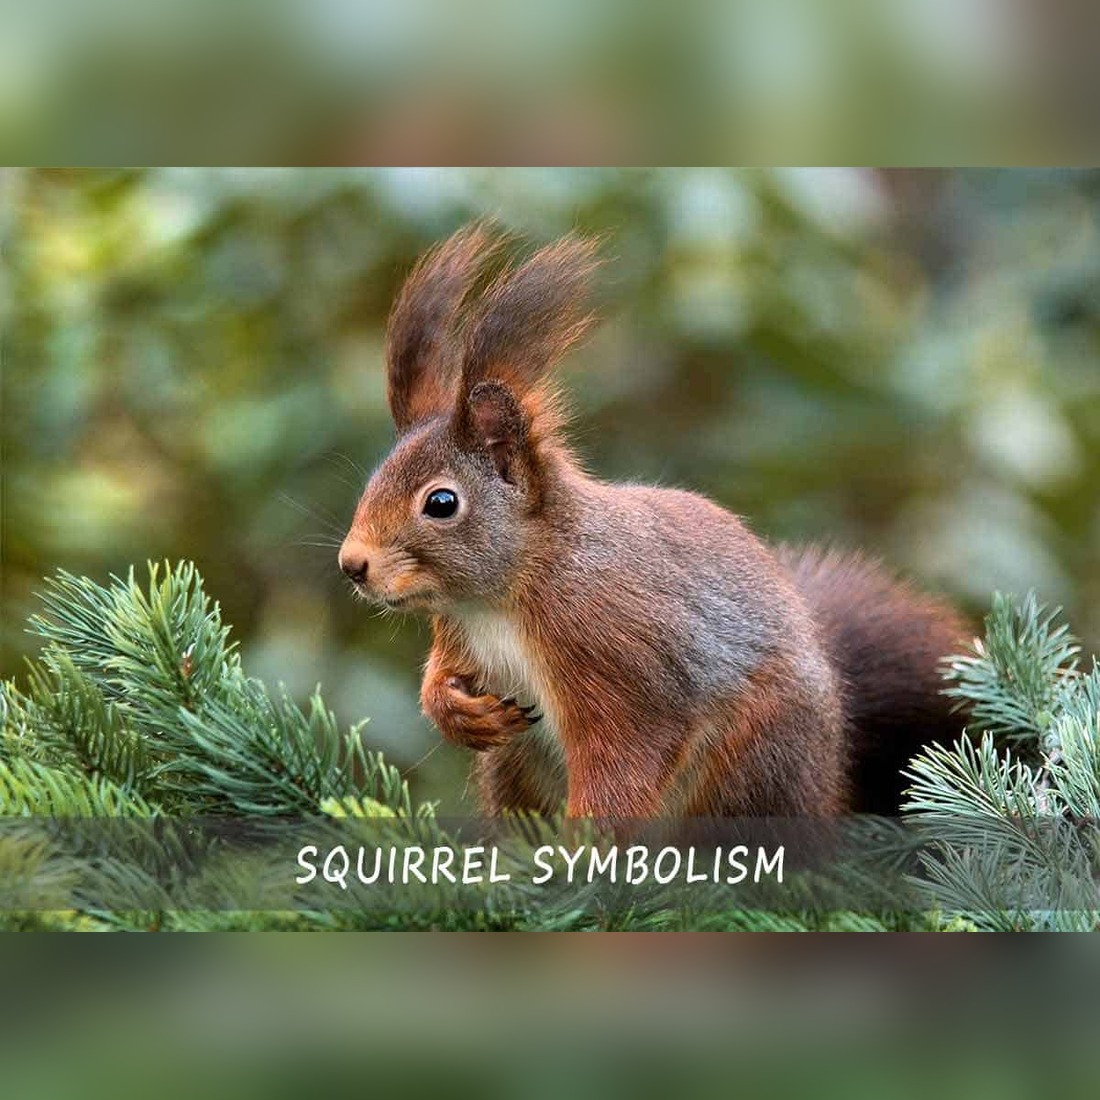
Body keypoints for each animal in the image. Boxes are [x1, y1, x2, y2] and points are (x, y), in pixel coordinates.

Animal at [339, 224, 968, 819]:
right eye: (373, 479)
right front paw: (456, 711)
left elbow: (623, 764)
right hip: (515, 767)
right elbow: (438, 680)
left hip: (753, 760)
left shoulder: (616, 654)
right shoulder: (458, 633)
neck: (503, 597)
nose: (352, 565)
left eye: (441, 503)